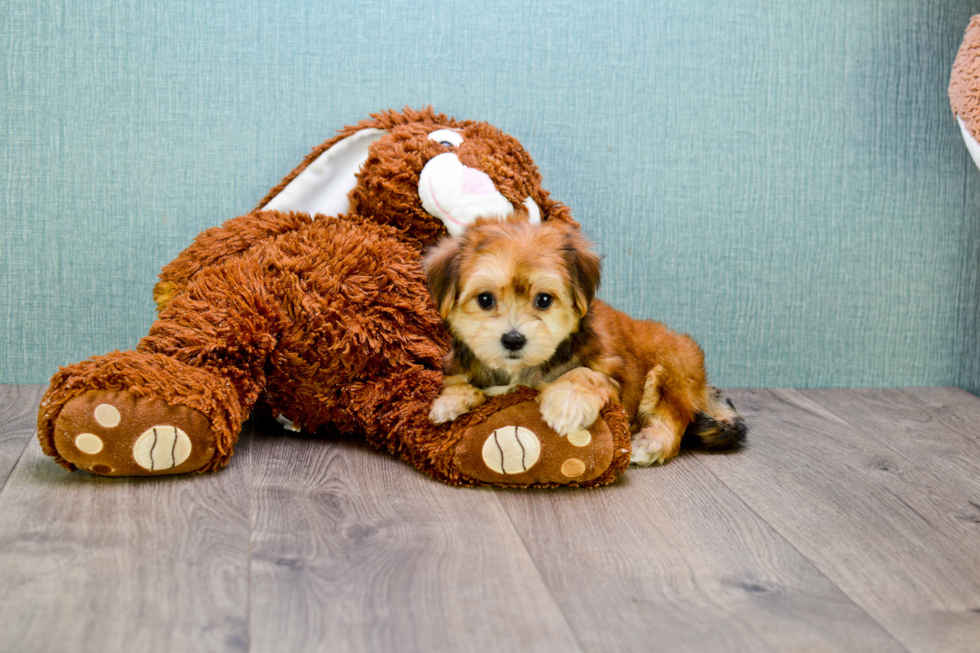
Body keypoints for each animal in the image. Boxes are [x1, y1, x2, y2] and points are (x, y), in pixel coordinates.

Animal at [420, 215, 744, 464]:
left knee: (672, 416)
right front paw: (449, 402)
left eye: (544, 300)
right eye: (485, 300)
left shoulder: (614, 377)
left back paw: (649, 444)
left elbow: (582, 374)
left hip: (671, 369)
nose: (513, 339)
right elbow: (460, 382)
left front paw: (566, 406)